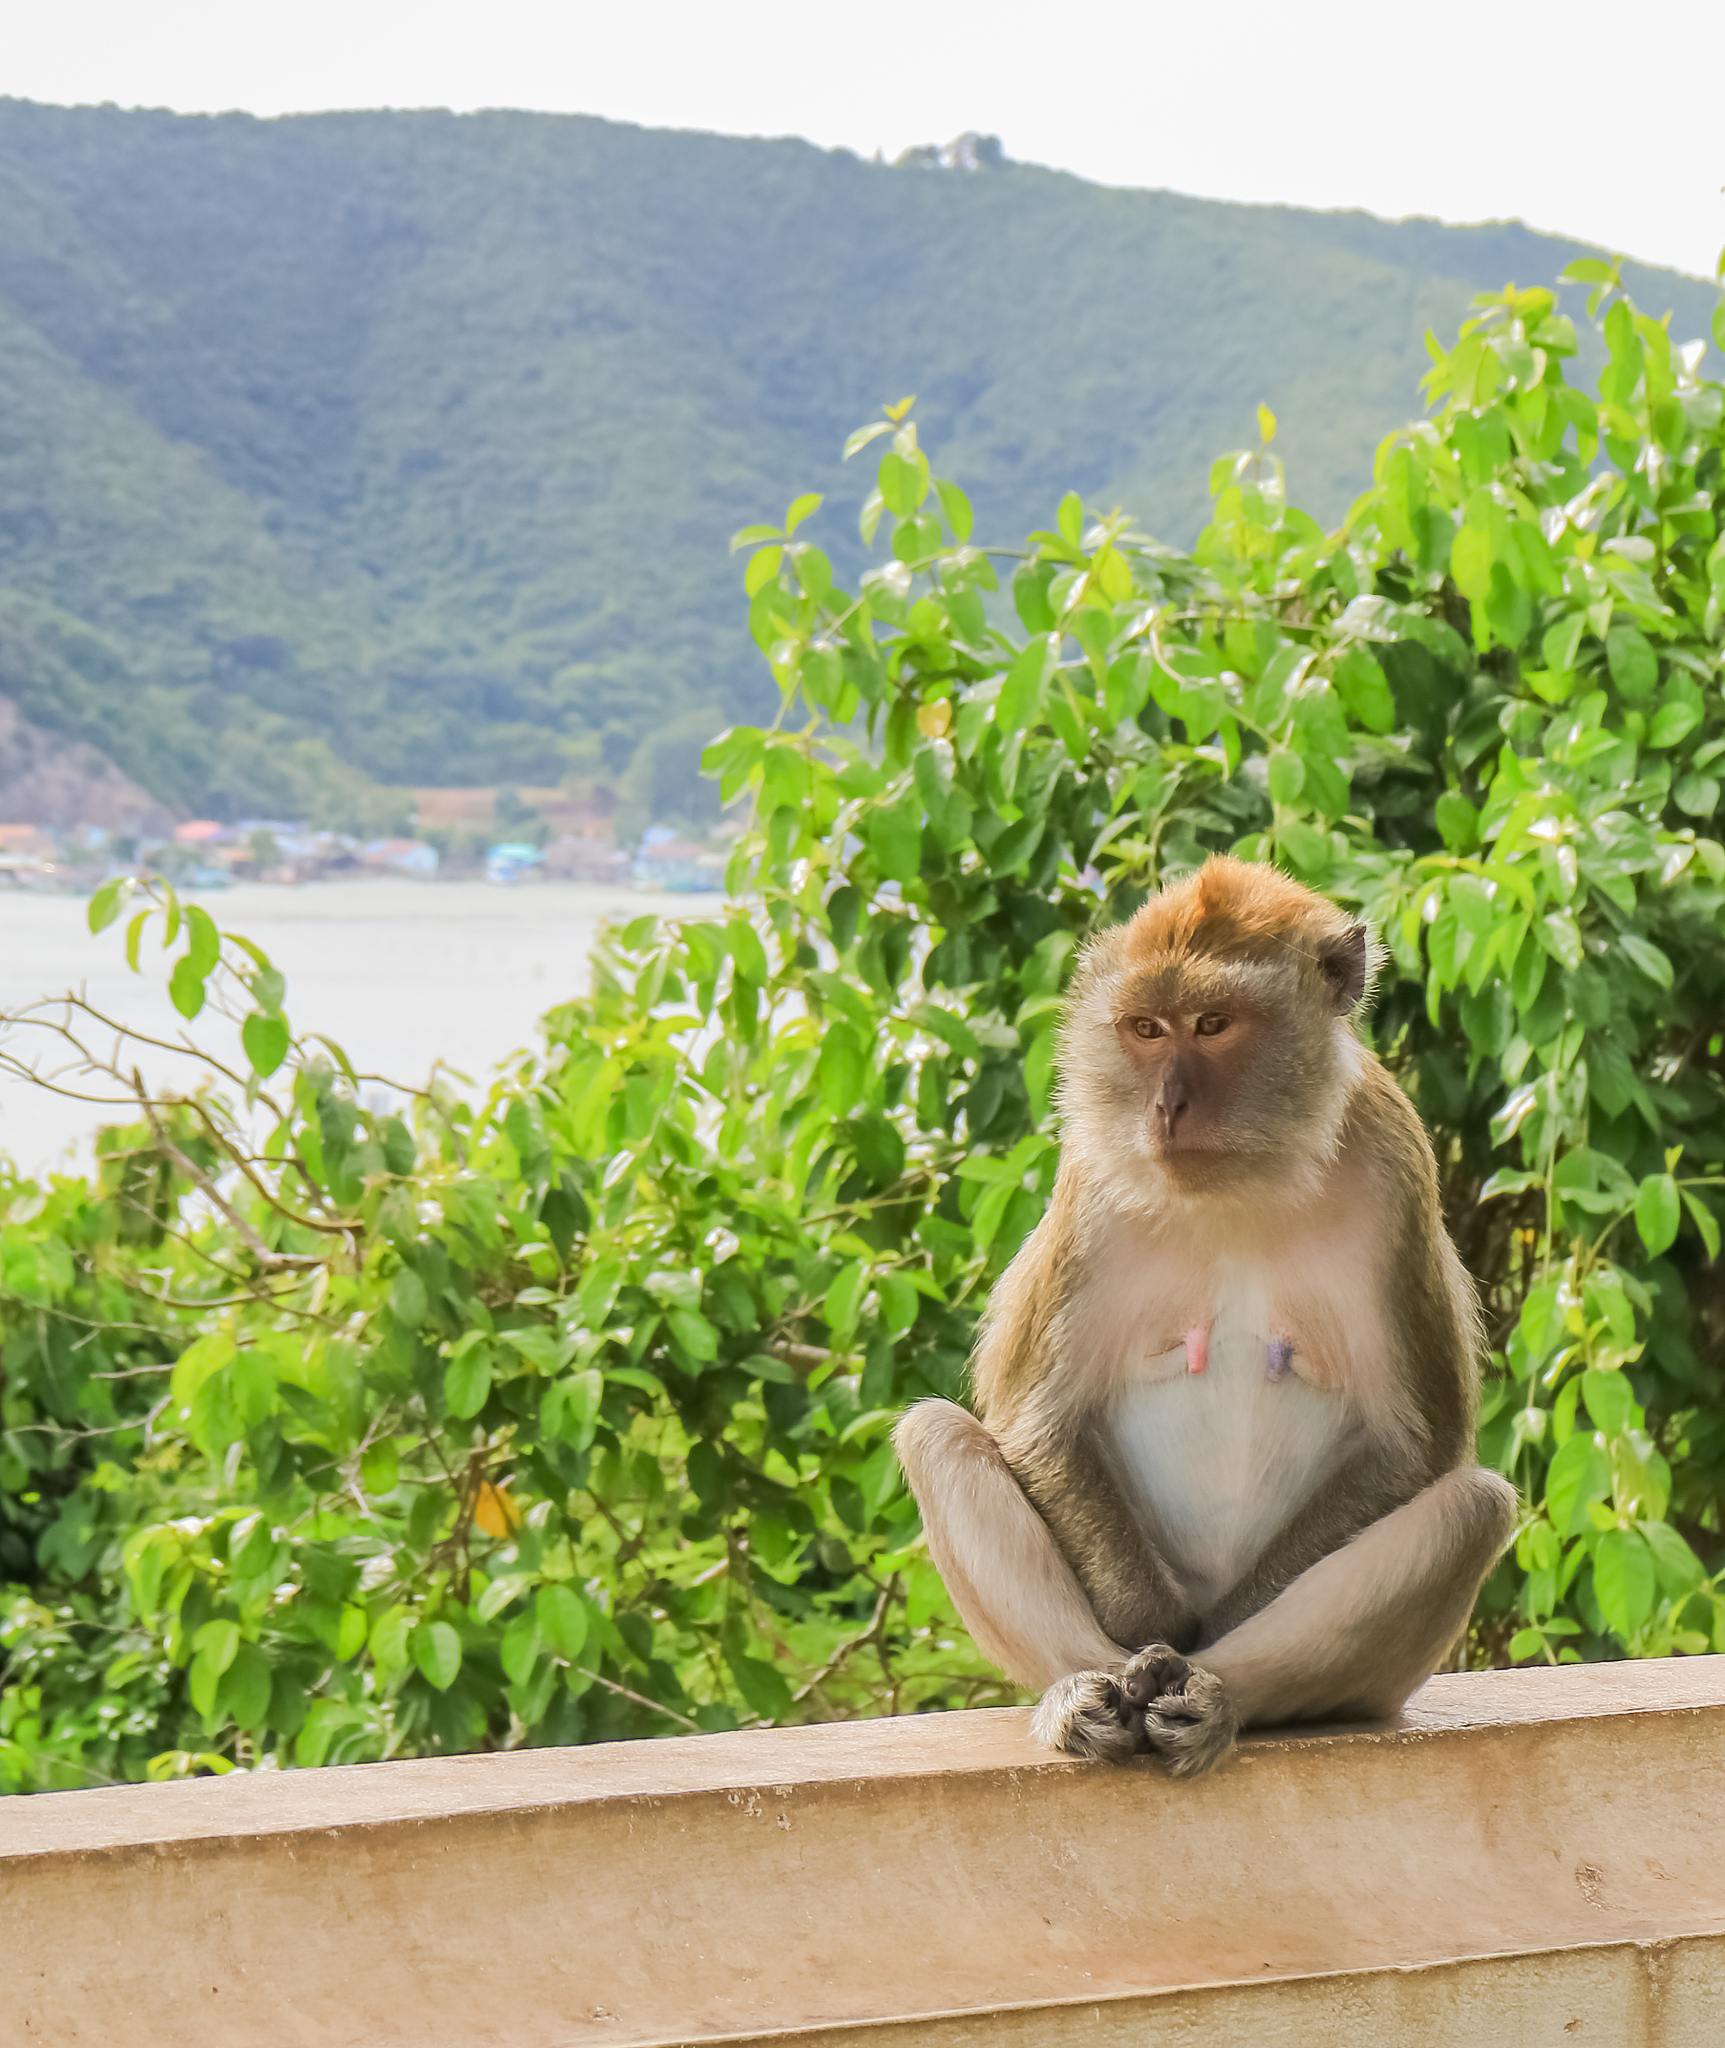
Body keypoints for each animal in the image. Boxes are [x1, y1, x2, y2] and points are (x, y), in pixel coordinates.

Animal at [893, 851, 1516, 1777]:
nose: (1166, 1106)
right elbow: (1035, 1420)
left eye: (1214, 1023)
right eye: (1147, 1029)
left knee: (1472, 1509)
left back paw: (1217, 1694)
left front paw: (1201, 1649)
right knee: (934, 1434)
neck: (1242, 1182)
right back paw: (1088, 1691)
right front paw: (1144, 1633)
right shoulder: (1091, 1180)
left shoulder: (1393, 1159)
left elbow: (1417, 1446)